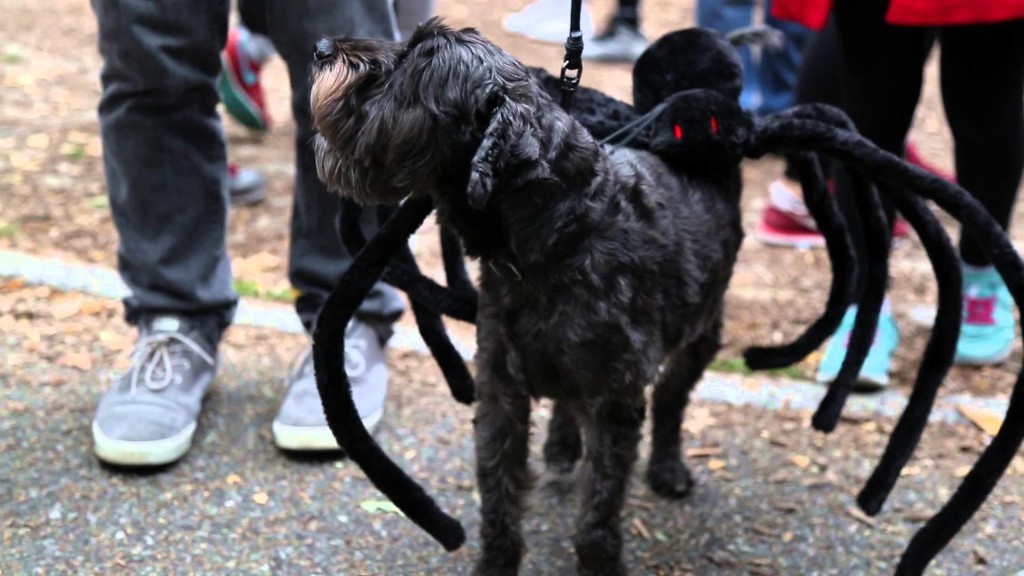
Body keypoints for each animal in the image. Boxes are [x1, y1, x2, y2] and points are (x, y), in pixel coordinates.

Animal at [311, 17, 745, 573]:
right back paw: (562, 445)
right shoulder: (500, 391)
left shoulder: (615, 404)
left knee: (672, 397)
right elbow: (498, 490)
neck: (559, 241)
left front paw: (600, 562)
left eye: (416, 61)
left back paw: (667, 468)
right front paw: (496, 562)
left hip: (703, 329)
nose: (322, 48)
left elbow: (599, 509)